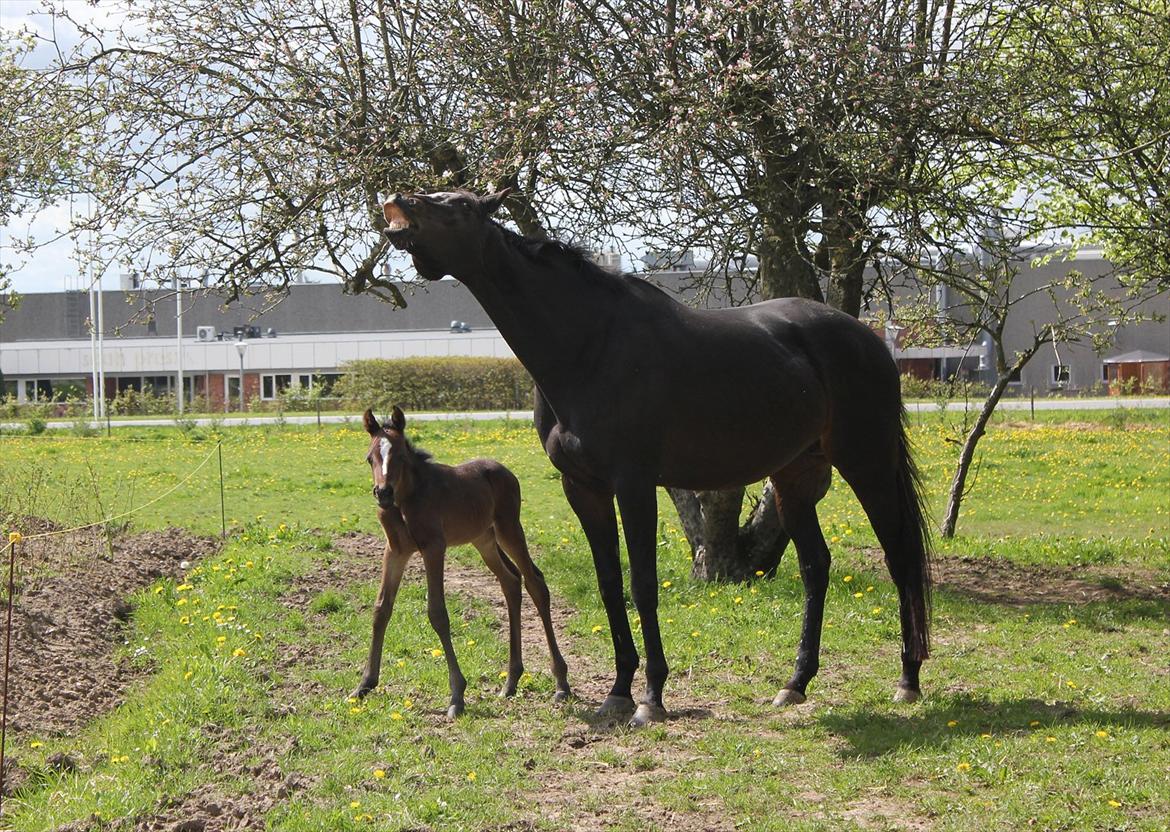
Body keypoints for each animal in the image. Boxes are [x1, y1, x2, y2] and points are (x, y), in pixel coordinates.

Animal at [348, 407, 568, 720]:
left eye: (400, 456)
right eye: (370, 458)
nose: (383, 493)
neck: (407, 499)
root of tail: (505, 471)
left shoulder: (433, 547)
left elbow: (437, 613)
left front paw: (457, 695)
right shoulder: (396, 551)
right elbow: (381, 609)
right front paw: (364, 685)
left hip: (509, 529)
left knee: (535, 583)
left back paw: (561, 683)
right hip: (484, 540)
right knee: (511, 581)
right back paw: (511, 682)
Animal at [381, 191, 931, 725]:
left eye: (459, 206)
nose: (401, 201)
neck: (589, 346)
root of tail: (870, 340)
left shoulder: (635, 484)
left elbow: (643, 584)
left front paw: (651, 696)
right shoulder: (584, 489)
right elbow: (610, 584)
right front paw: (619, 691)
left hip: (868, 464)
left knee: (900, 556)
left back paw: (908, 679)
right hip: (795, 478)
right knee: (816, 566)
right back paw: (795, 683)